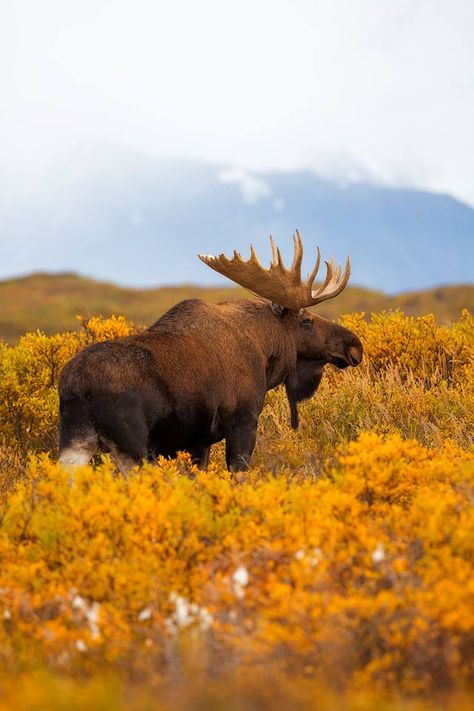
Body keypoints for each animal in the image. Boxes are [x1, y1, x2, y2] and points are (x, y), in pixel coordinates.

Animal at [59, 234, 362, 476]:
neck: (265, 351)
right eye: (306, 321)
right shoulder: (243, 420)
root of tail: (76, 386)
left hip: (75, 443)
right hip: (132, 445)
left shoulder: (198, 441)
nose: (354, 345)